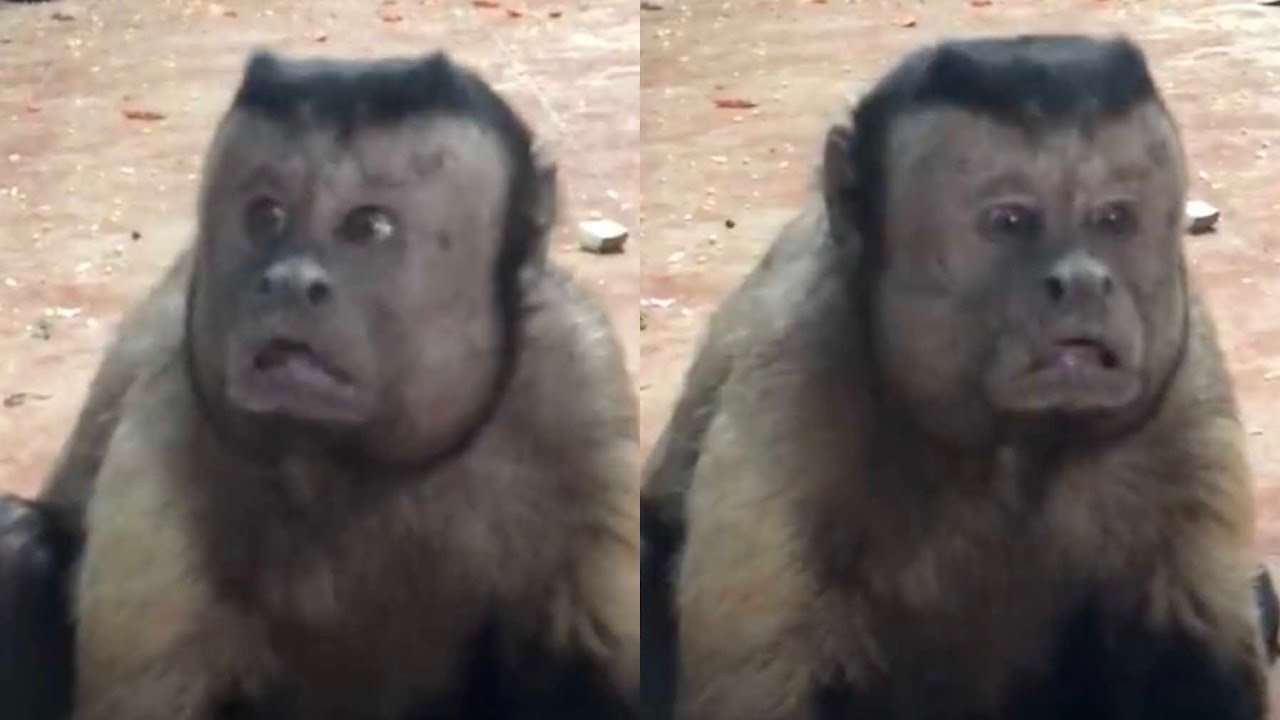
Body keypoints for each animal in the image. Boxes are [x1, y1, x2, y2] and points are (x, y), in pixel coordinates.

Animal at [2, 49, 640, 719]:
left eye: (368, 226)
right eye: (265, 215)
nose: (287, 281)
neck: (356, 465)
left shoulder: (582, 387)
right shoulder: (169, 415)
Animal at [644, 35, 1269, 720]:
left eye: (1112, 219)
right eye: (1010, 221)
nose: (1082, 282)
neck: (1009, 447)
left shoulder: (1184, 381)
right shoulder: (795, 385)